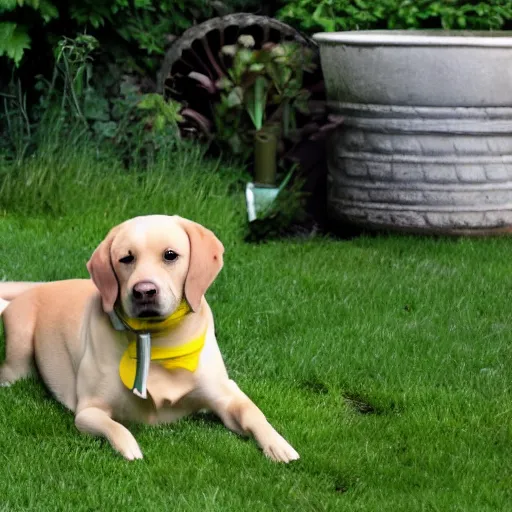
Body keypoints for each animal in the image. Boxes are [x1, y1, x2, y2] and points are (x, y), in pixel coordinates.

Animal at [0, 214, 300, 462]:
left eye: (170, 255)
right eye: (126, 258)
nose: (144, 291)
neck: (159, 344)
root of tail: (35, 288)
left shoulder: (224, 396)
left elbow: (252, 411)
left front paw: (278, 445)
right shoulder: (87, 411)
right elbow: (115, 427)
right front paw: (130, 447)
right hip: (19, 361)